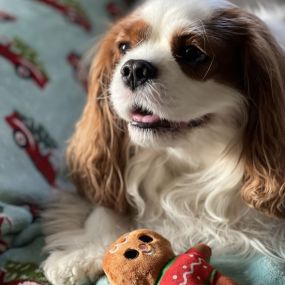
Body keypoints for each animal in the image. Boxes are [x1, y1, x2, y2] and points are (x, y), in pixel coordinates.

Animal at [41, 1, 284, 282]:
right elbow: (104, 207)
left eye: (191, 52)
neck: (185, 159)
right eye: (123, 47)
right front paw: (81, 252)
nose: (134, 69)